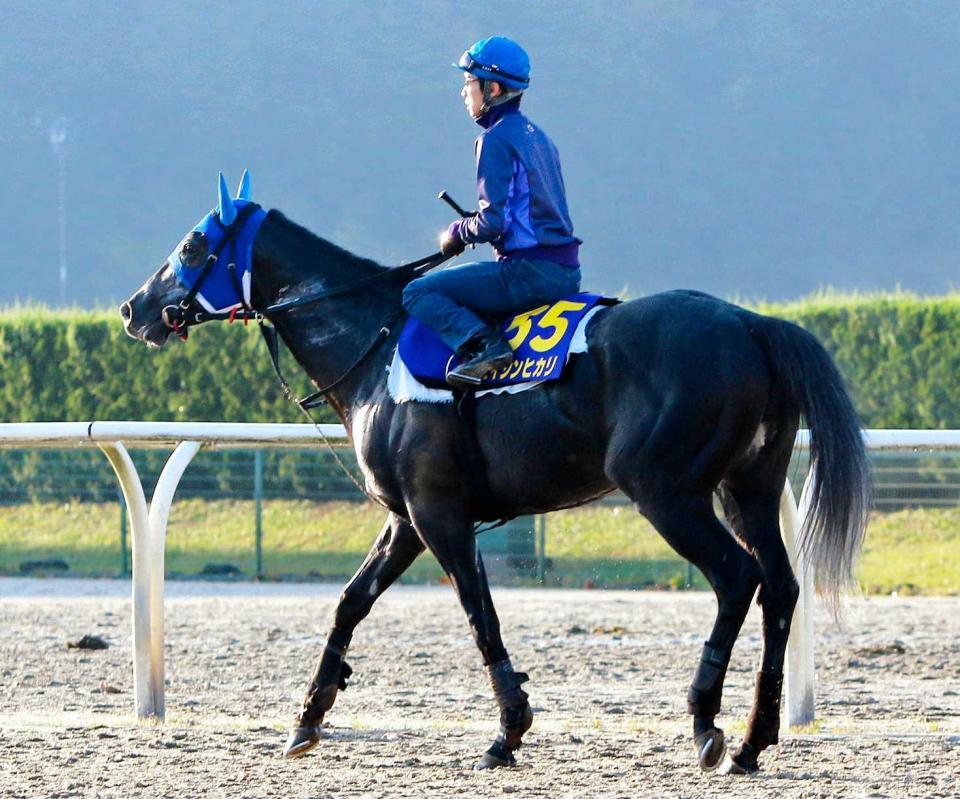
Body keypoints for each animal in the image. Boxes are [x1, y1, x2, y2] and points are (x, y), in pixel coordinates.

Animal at [120, 177, 872, 776]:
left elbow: (480, 614)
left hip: (667, 491)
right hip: (746, 487)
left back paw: (705, 723)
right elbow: (350, 602)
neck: (375, 341)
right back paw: (752, 739)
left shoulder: (438, 513)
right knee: (780, 586)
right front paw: (308, 716)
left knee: (737, 577)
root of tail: (751, 322)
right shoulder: (406, 518)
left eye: (194, 245)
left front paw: (508, 731)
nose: (134, 310)